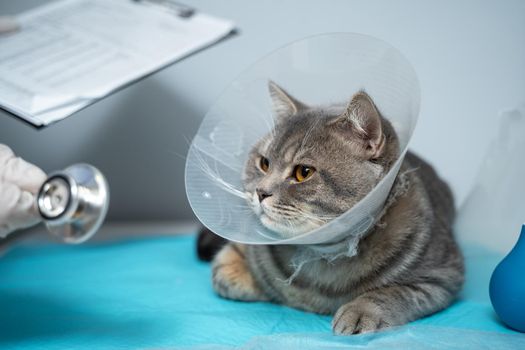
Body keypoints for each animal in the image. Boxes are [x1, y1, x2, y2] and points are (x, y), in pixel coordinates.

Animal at [196, 80, 462, 334]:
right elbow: (227, 270)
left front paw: (360, 310)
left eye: (303, 172)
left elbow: (393, 292)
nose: (260, 192)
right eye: (264, 163)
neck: (323, 252)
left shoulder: (443, 276)